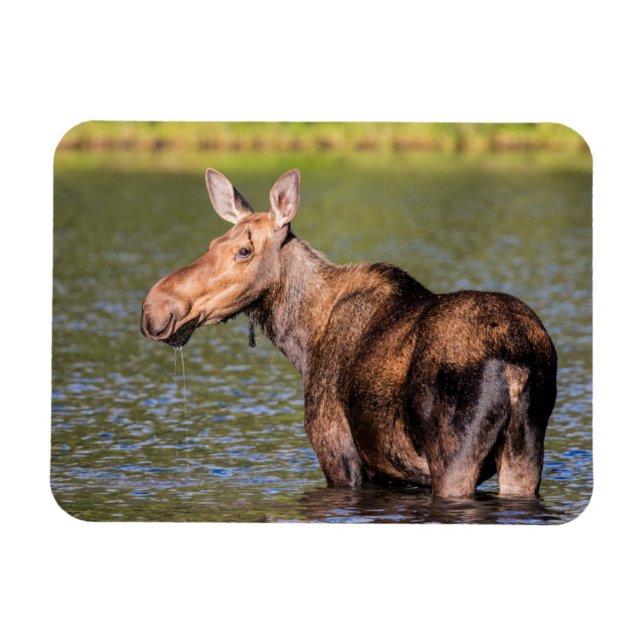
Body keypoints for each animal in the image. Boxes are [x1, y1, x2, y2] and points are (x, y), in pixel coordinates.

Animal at [141, 169, 557, 497]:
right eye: (213, 243)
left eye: (244, 251)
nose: (154, 307)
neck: (302, 341)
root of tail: (517, 366)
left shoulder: (338, 453)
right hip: (525, 455)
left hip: (454, 458)